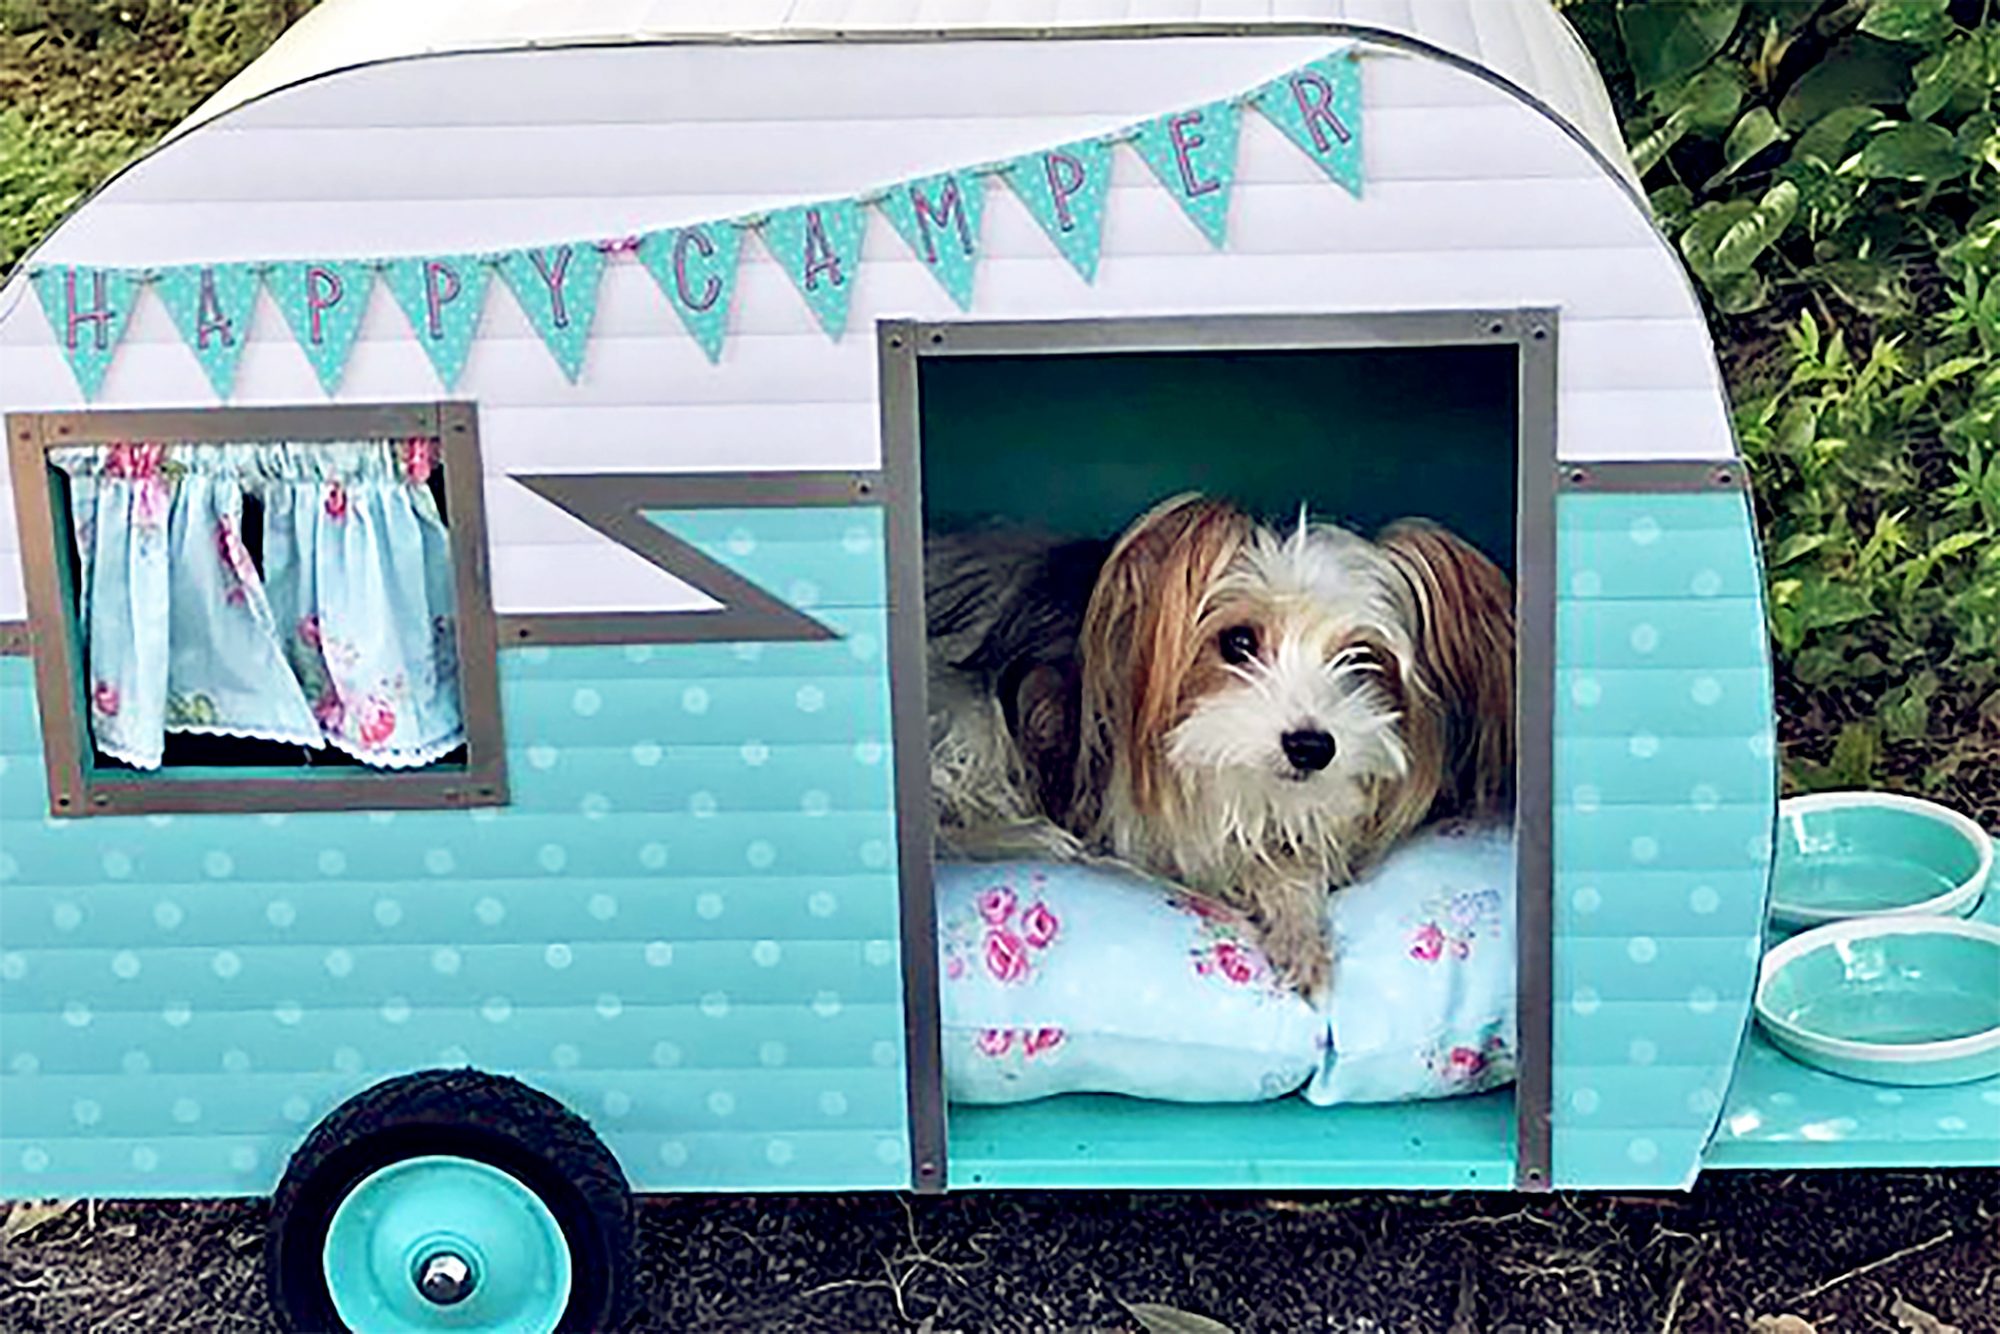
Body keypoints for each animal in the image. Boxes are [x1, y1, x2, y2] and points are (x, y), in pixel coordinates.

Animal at [928, 496, 1504, 996]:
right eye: (1238, 642)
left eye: (1362, 658)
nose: (1311, 747)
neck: (1243, 787)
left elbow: (1294, 867)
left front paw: (1300, 935)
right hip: (968, 715)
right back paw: (1034, 836)